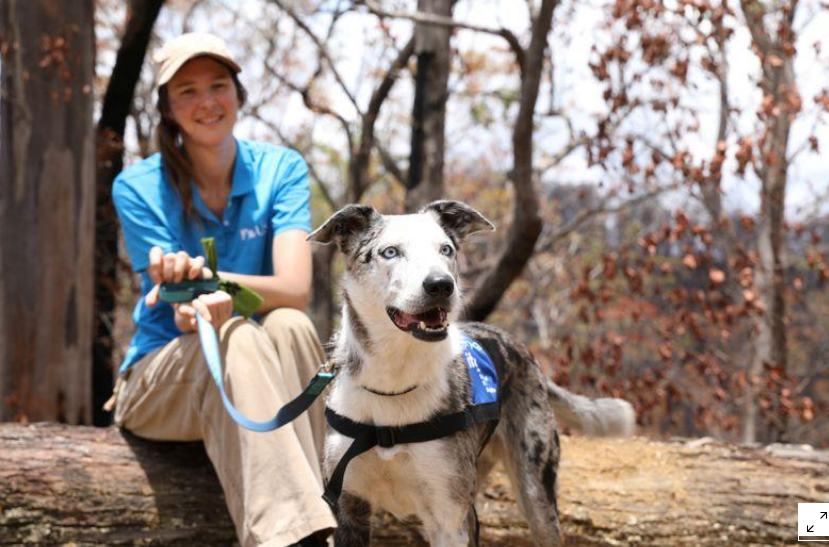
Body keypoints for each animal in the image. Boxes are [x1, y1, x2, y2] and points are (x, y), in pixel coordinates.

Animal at [308, 202, 636, 547]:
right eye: (390, 252)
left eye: (446, 249)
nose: (441, 285)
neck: (395, 382)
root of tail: (519, 347)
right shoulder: (348, 506)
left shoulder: (448, 517)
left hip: (535, 491)